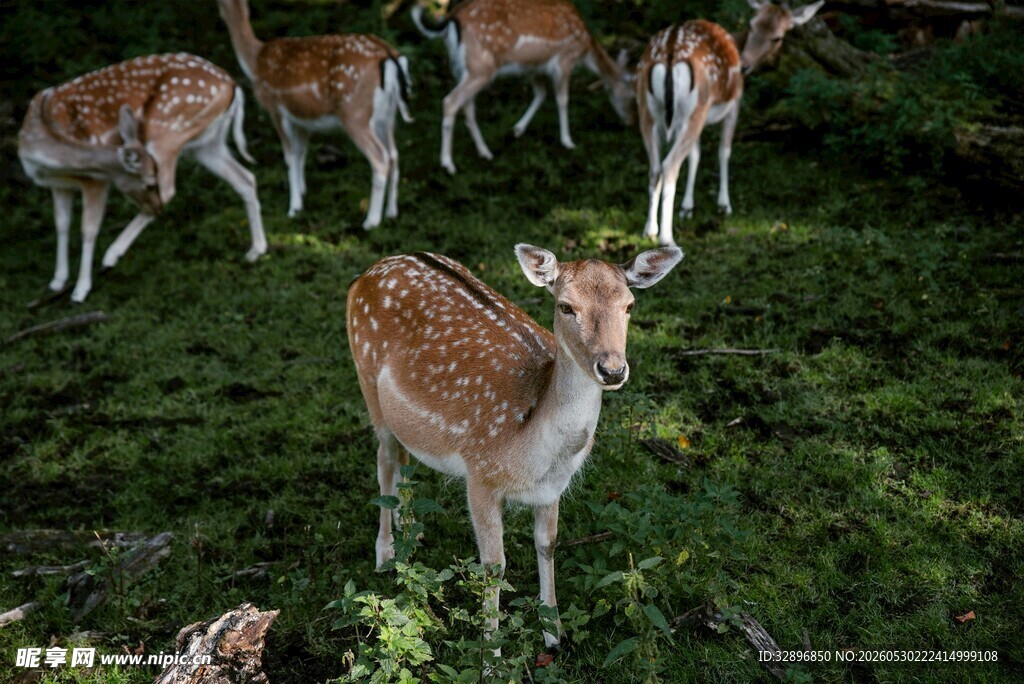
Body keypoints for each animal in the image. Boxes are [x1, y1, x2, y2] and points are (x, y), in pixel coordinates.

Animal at [18, 52, 267, 303]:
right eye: (148, 184)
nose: (157, 210)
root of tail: (232, 84)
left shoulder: (96, 182)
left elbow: (88, 229)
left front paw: (80, 290)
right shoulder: (59, 185)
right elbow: (61, 224)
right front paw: (57, 281)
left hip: (166, 131)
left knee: (170, 189)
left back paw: (112, 254)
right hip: (207, 144)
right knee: (246, 178)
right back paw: (256, 249)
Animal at [216, 0, 412, 228]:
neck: (255, 62)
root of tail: (389, 56)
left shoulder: (276, 107)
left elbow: (290, 157)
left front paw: (293, 208)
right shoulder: (302, 119)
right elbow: (301, 153)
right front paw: (302, 192)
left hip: (355, 112)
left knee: (380, 157)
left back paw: (370, 221)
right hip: (387, 115)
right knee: (394, 154)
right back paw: (391, 212)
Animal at [347, 244, 682, 650]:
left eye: (629, 305)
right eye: (565, 306)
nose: (613, 369)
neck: (535, 452)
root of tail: (368, 272)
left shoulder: (554, 488)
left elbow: (548, 544)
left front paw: (554, 633)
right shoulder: (479, 474)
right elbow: (494, 565)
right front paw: (490, 649)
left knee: (403, 455)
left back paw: (412, 529)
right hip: (366, 381)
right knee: (384, 458)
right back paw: (385, 553)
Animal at [411, 0, 634, 174]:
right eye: (631, 95)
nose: (630, 123)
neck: (586, 47)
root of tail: (451, 18)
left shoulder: (533, 66)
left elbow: (541, 93)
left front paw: (517, 130)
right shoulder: (564, 59)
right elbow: (562, 99)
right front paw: (567, 141)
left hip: (462, 68)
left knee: (467, 106)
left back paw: (485, 152)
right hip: (481, 66)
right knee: (450, 101)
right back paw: (448, 164)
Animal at [636, 0, 824, 246]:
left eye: (777, 37)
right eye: (752, 25)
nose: (745, 65)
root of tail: (668, 55)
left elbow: (695, 155)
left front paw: (687, 208)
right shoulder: (734, 104)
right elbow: (724, 151)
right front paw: (724, 205)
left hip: (647, 109)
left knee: (655, 167)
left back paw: (649, 229)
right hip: (696, 106)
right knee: (669, 166)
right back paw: (667, 238)